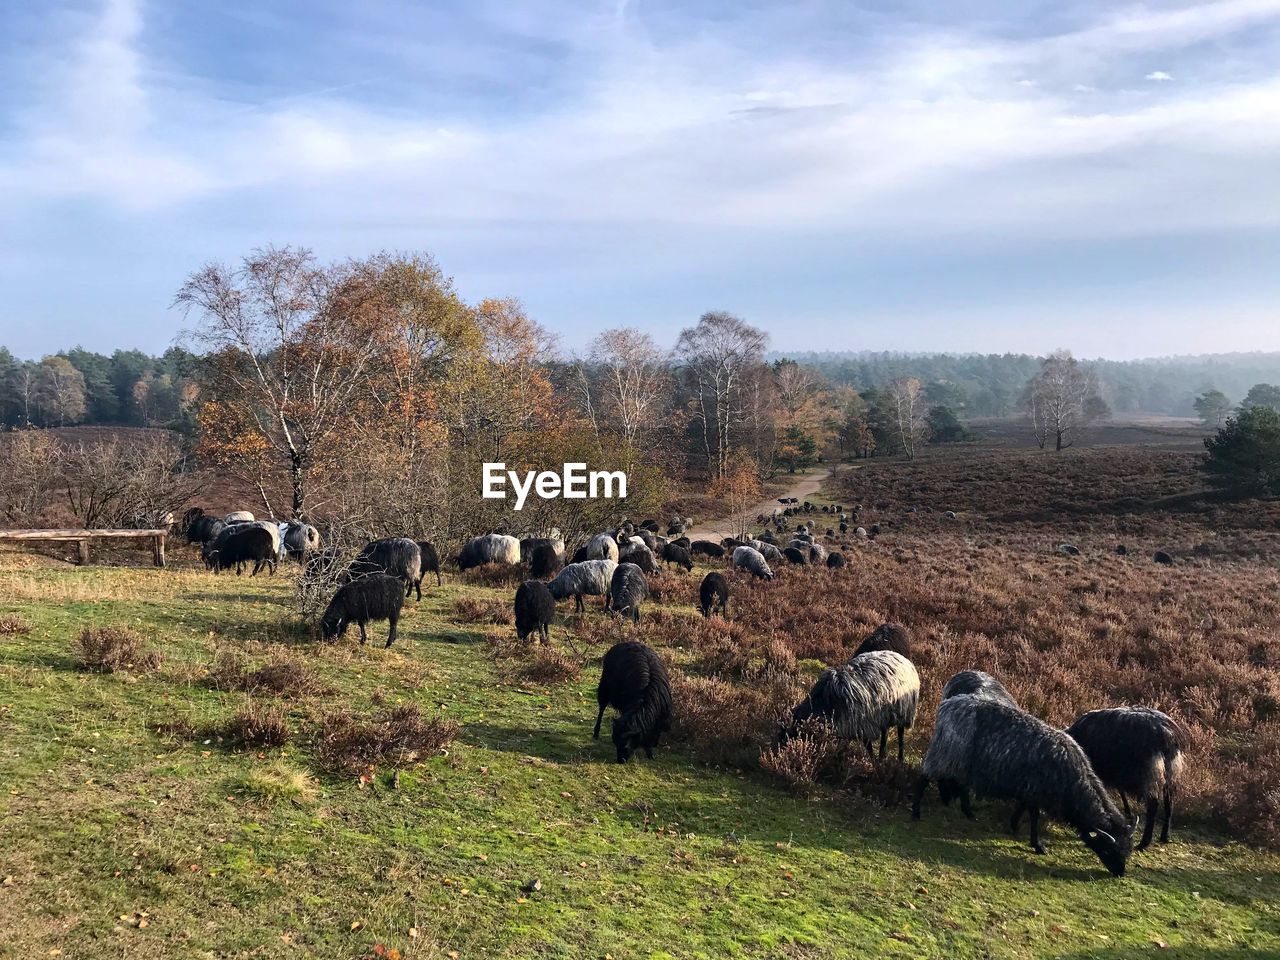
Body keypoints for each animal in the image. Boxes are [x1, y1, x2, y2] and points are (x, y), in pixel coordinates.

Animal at [778, 650, 921, 762]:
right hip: (885, 715)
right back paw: (882, 755)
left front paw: (873, 763)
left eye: (788, 738)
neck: (823, 704)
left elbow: (868, 746)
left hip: (904, 711)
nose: (781, 756)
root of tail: (902, 658)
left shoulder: (861, 724)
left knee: (900, 734)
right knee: (885, 732)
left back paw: (900, 759)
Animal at [906, 701, 1136, 880]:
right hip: (943, 754)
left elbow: (1022, 808)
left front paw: (1014, 825)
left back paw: (967, 812)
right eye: (1108, 849)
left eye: (1128, 850)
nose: (1120, 873)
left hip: (958, 762)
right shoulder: (1035, 790)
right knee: (923, 780)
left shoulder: (1028, 790)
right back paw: (916, 812)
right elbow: (1034, 816)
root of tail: (947, 705)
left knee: (958, 785)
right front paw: (1037, 845)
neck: (1073, 783)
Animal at [1064, 706, 1182, 849]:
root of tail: (1168, 734)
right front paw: (1127, 811)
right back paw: (1165, 835)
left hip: (1148, 775)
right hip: (1169, 773)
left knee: (1153, 805)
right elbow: (1121, 790)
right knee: (1169, 802)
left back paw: (1144, 842)